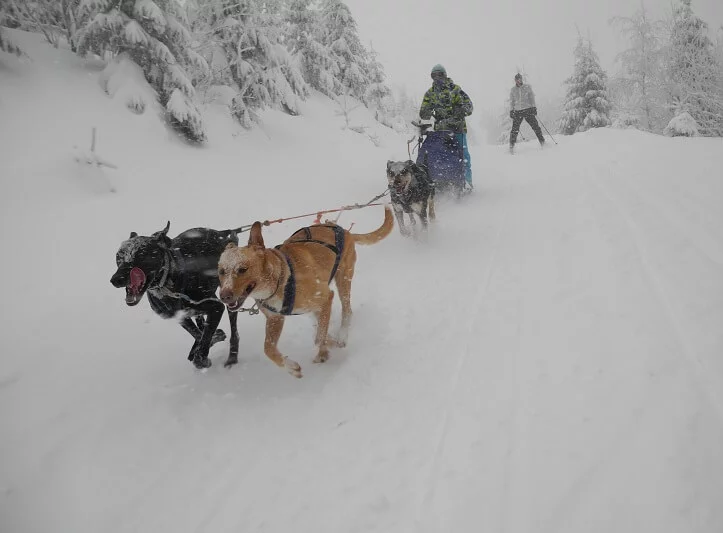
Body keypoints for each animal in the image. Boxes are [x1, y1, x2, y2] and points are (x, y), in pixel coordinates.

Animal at [110, 220, 240, 366]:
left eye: (142, 255)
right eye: (119, 256)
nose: (115, 279)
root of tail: (223, 233)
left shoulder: (216, 308)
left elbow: (204, 339)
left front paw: (202, 356)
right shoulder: (181, 317)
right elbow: (199, 334)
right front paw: (209, 340)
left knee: (234, 330)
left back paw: (232, 356)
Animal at [218, 206, 394, 376]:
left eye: (242, 269)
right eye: (221, 271)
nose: (223, 296)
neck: (281, 279)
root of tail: (344, 230)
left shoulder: (326, 297)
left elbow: (319, 339)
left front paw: (322, 352)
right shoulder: (275, 318)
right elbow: (268, 349)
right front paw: (291, 367)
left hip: (343, 278)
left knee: (346, 310)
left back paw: (341, 336)